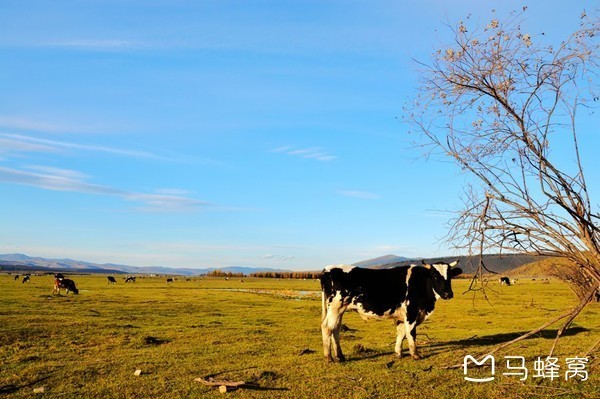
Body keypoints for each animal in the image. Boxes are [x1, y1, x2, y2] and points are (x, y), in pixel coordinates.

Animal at [322, 260, 462, 364]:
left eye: (450, 276)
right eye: (435, 276)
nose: (448, 294)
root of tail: (327, 269)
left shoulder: (403, 315)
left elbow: (401, 333)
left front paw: (398, 353)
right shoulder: (411, 312)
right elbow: (411, 333)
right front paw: (415, 354)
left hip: (339, 310)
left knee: (335, 329)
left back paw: (340, 356)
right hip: (335, 307)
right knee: (327, 328)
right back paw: (329, 357)